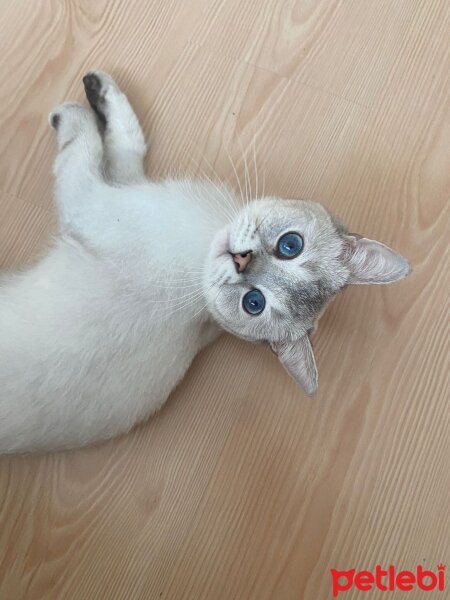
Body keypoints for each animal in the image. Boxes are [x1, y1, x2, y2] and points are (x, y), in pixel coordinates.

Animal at [0, 71, 410, 454]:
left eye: (253, 303)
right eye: (291, 245)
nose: (240, 260)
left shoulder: (93, 202)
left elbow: (84, 143)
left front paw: (71, 112)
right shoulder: (128, 183)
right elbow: (127, 141)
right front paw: (98, 91)